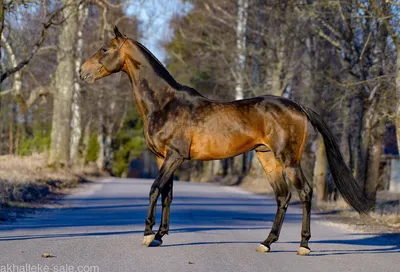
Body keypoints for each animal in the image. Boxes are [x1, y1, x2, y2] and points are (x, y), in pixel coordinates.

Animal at [79, 25, 370, 255]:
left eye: (104, 49)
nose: (82, 72)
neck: (165, 103)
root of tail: (297, 107)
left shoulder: (174, 156)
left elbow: (153, 190)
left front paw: (148, 234)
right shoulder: (164, 158)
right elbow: (166, 195)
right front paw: (161, 236)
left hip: (288, 159)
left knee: (305, 193)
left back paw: (304, 245)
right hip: (267, 158)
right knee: (283, 196)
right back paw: (266, 242)